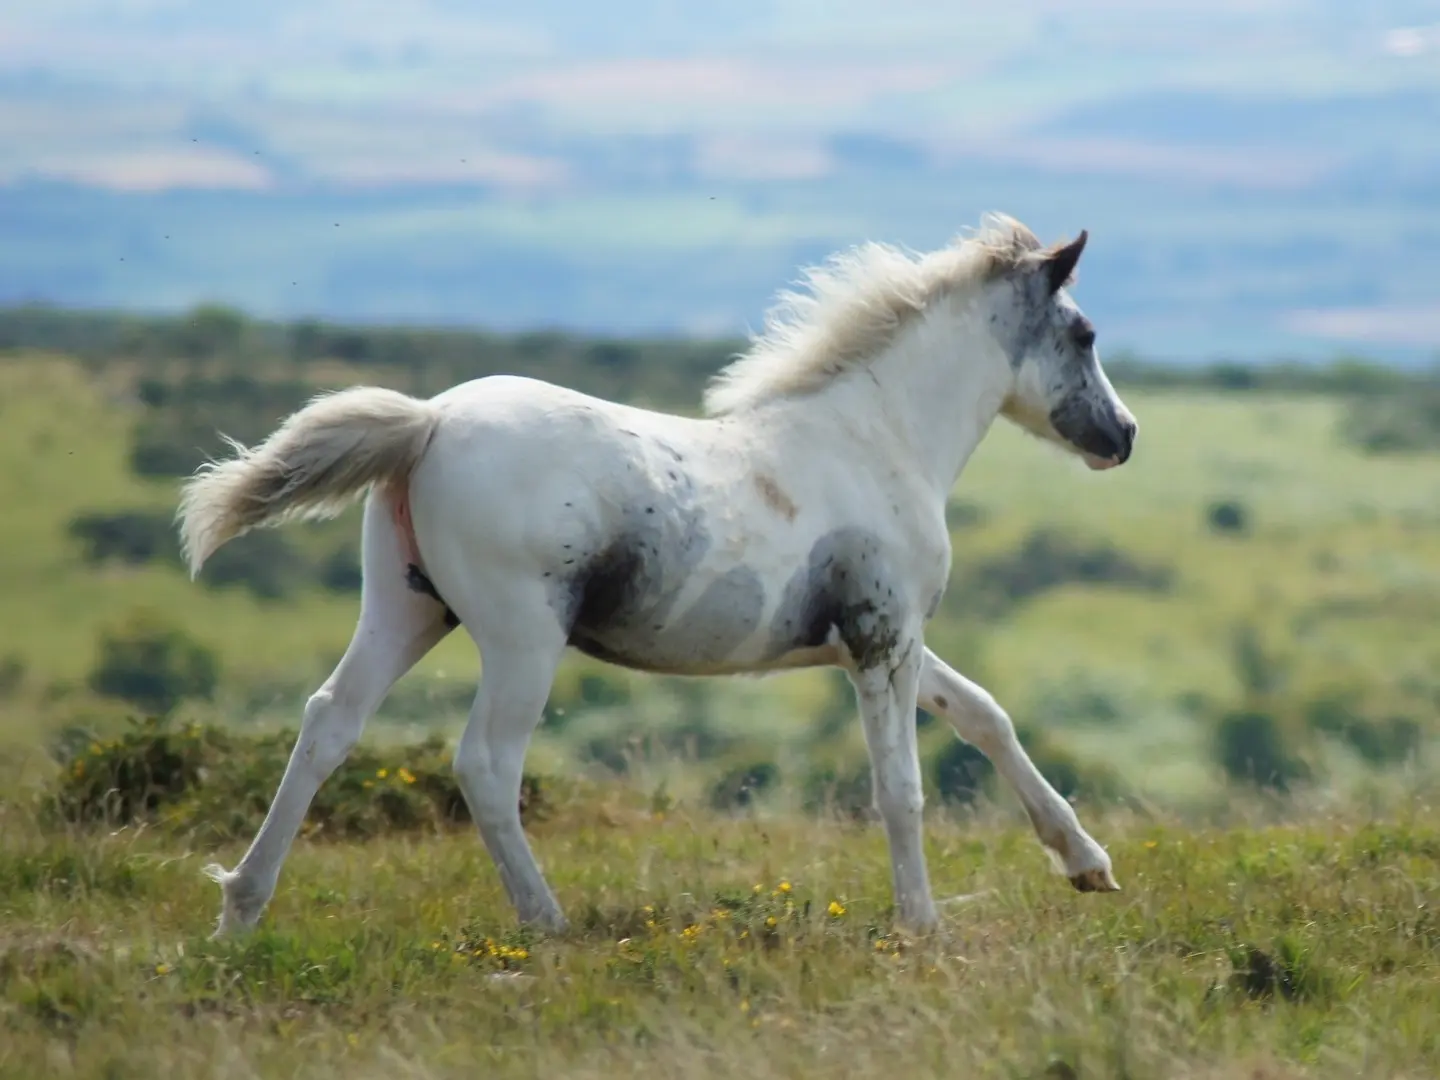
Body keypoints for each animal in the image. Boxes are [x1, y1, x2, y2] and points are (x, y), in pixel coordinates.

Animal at [177, 211, 1134, 938]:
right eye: (1083, 334)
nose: (1122, 436)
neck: (877, 440)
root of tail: (429, 422)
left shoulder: (882, 642)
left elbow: (984, 714)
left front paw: (1087, 864)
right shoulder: (882, 639)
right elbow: (901, 788)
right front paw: (923, 925)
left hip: (405, 608)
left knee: (328, 724)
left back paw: (239, 911)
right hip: (522, 638)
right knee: (486, 763)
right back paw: (547, 924)